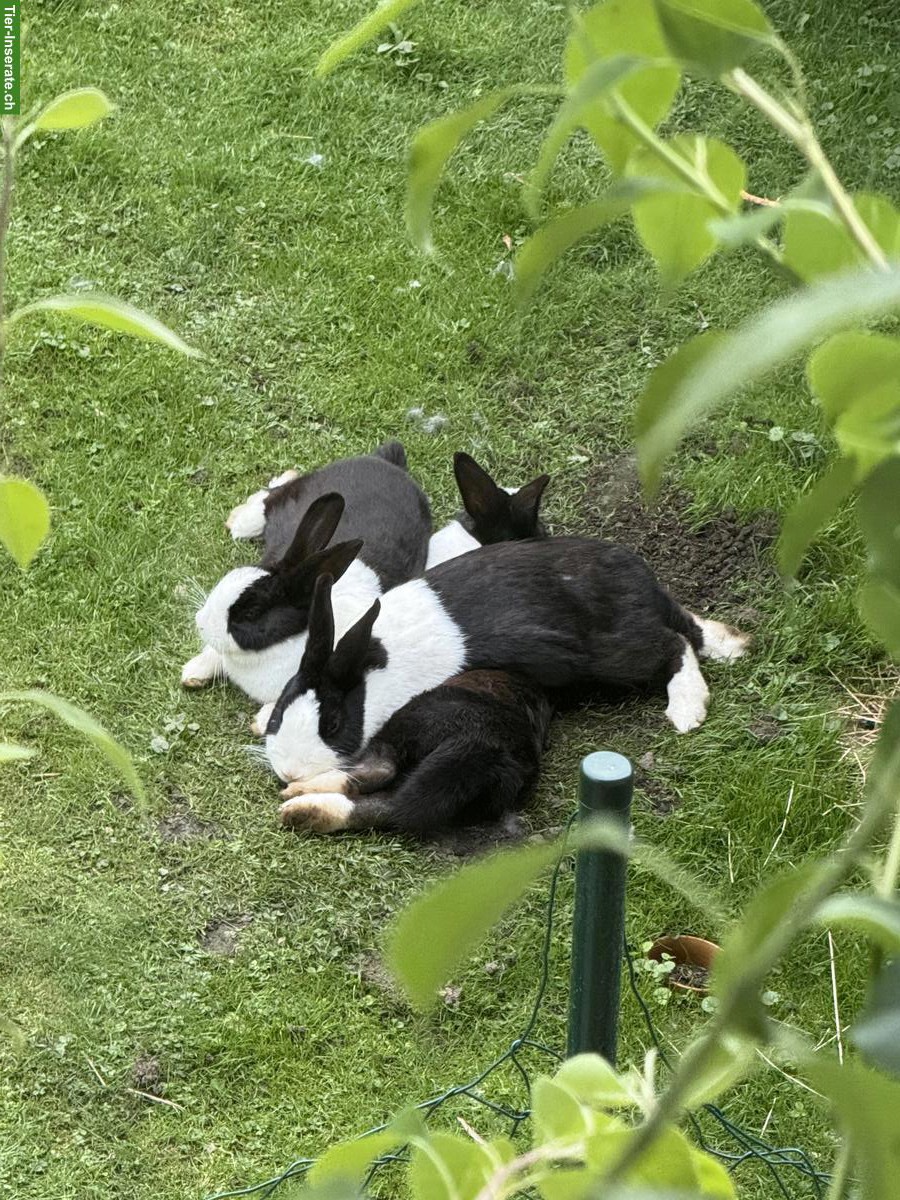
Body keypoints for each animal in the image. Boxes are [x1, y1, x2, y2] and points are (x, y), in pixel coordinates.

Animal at [180, 442, 431, 703]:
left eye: (252, 613)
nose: (201, 623)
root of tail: (391, 464)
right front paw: (193, 671)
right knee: (273, 495)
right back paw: (240, 521)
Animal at [261, 538, 750, 790]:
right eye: (283, 711)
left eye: (332, 725)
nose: (289, 772)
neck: (371, 673)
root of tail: (641, 582)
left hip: (616, 657)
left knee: (673, 646)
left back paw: (686, 710)